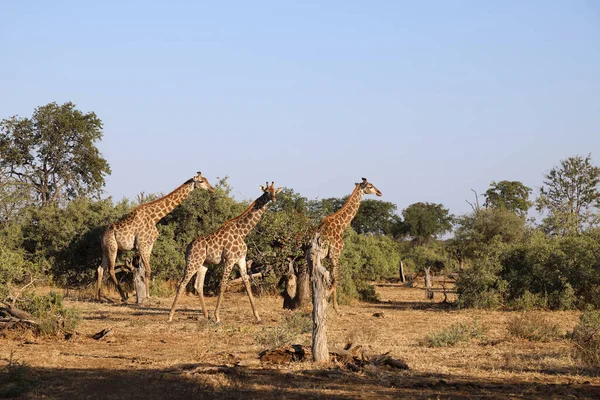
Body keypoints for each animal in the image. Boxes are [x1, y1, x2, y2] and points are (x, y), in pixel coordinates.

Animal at [99, 170, 217, 302]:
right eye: (201, 181)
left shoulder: (149, 245)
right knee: (110, 269)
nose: (212, 189)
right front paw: (146, 296)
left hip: (105, 249)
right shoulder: (142, 244)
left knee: (100, 268)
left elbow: (146, 271)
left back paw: (98, 297)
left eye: (207, 180)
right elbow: (148, 270)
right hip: (113, 248)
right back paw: (123, 296)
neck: (155, 217)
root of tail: (102, 236)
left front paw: (147, 295)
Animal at [169, 183, 282, 324]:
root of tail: (188, 247)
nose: (274, 199)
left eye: (275, 191)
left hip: (203, 264)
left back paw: (206, 315)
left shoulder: (241, 260)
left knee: (198, 285)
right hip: (193, 262)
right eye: (266, 191)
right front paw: (217, 317)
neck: (242, 232)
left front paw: (257, 317)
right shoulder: (229, 260)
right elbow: (223, 284)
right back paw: (170, 316)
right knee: (182, 283)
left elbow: (247, 284)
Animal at [316, 177, 382, 310]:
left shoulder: (329, 257)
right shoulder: (335, 255)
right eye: (370, 186)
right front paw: (336, 307)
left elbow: (332, 279)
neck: (341, 225)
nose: (379, 192)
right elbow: (335, 279)